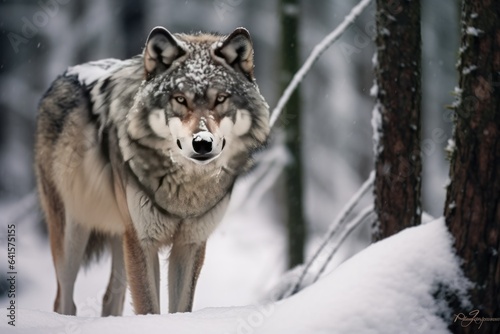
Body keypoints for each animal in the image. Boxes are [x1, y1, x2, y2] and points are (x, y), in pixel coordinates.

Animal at [34, 26, 270, 316]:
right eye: (180, 99)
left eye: (220, 99)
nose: (202, 143)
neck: (186, 188)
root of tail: (63, 75)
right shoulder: (143, 240)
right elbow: (148, 306)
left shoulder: (190, 243)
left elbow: (180, 307)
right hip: (74, 233)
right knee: (64, 300)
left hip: (120, 237)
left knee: (110, 297)